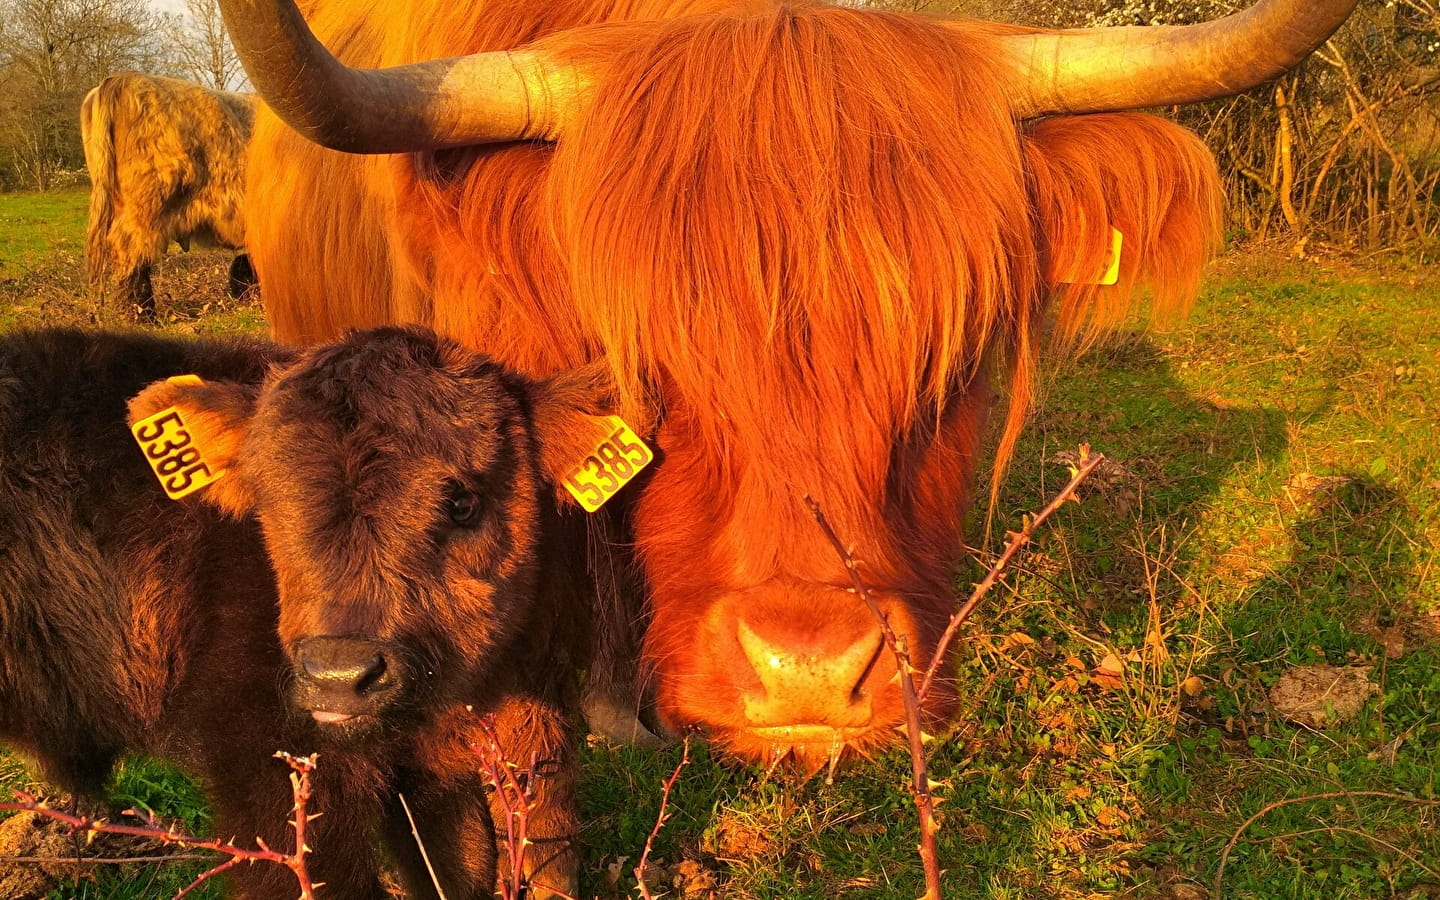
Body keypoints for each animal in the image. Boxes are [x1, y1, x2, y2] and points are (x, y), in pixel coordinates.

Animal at [0, 326, 601, 892]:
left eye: (462, 502)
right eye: (268, 501)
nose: (339, 675)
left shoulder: (435, 777)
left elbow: (461, 867)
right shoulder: (263, 772)